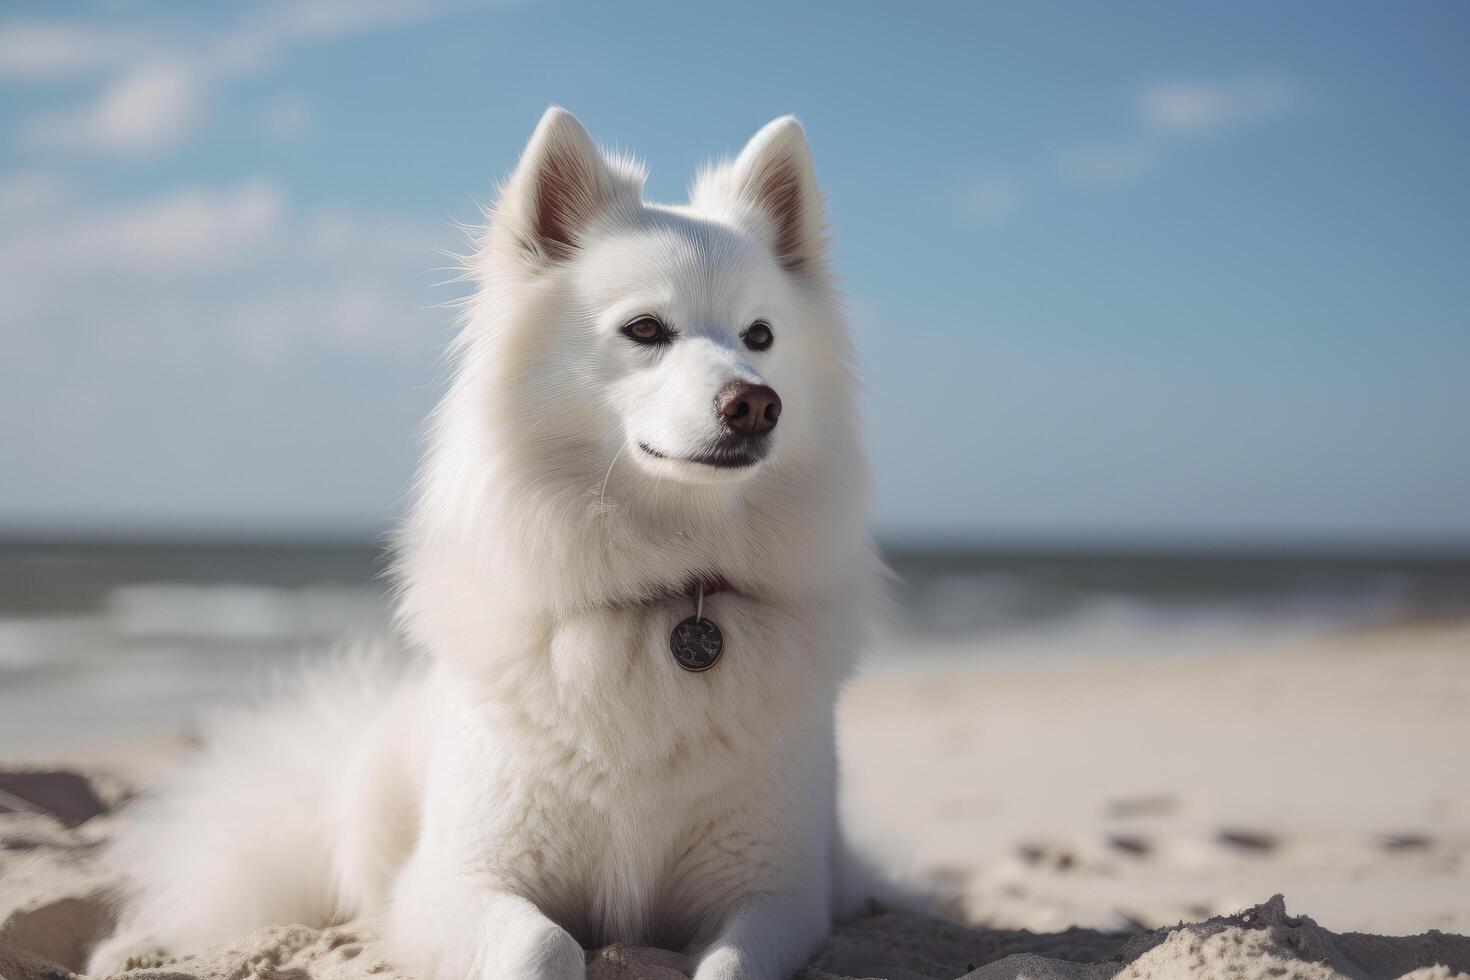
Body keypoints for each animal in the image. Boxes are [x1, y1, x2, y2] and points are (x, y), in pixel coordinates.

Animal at [91, 107, 876, 980]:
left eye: (760, 336)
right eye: (645, 329)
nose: (756, 405)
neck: (664, 590)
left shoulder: (781, 892)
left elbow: (732, 963)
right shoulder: (453, 882)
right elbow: (541, 942)